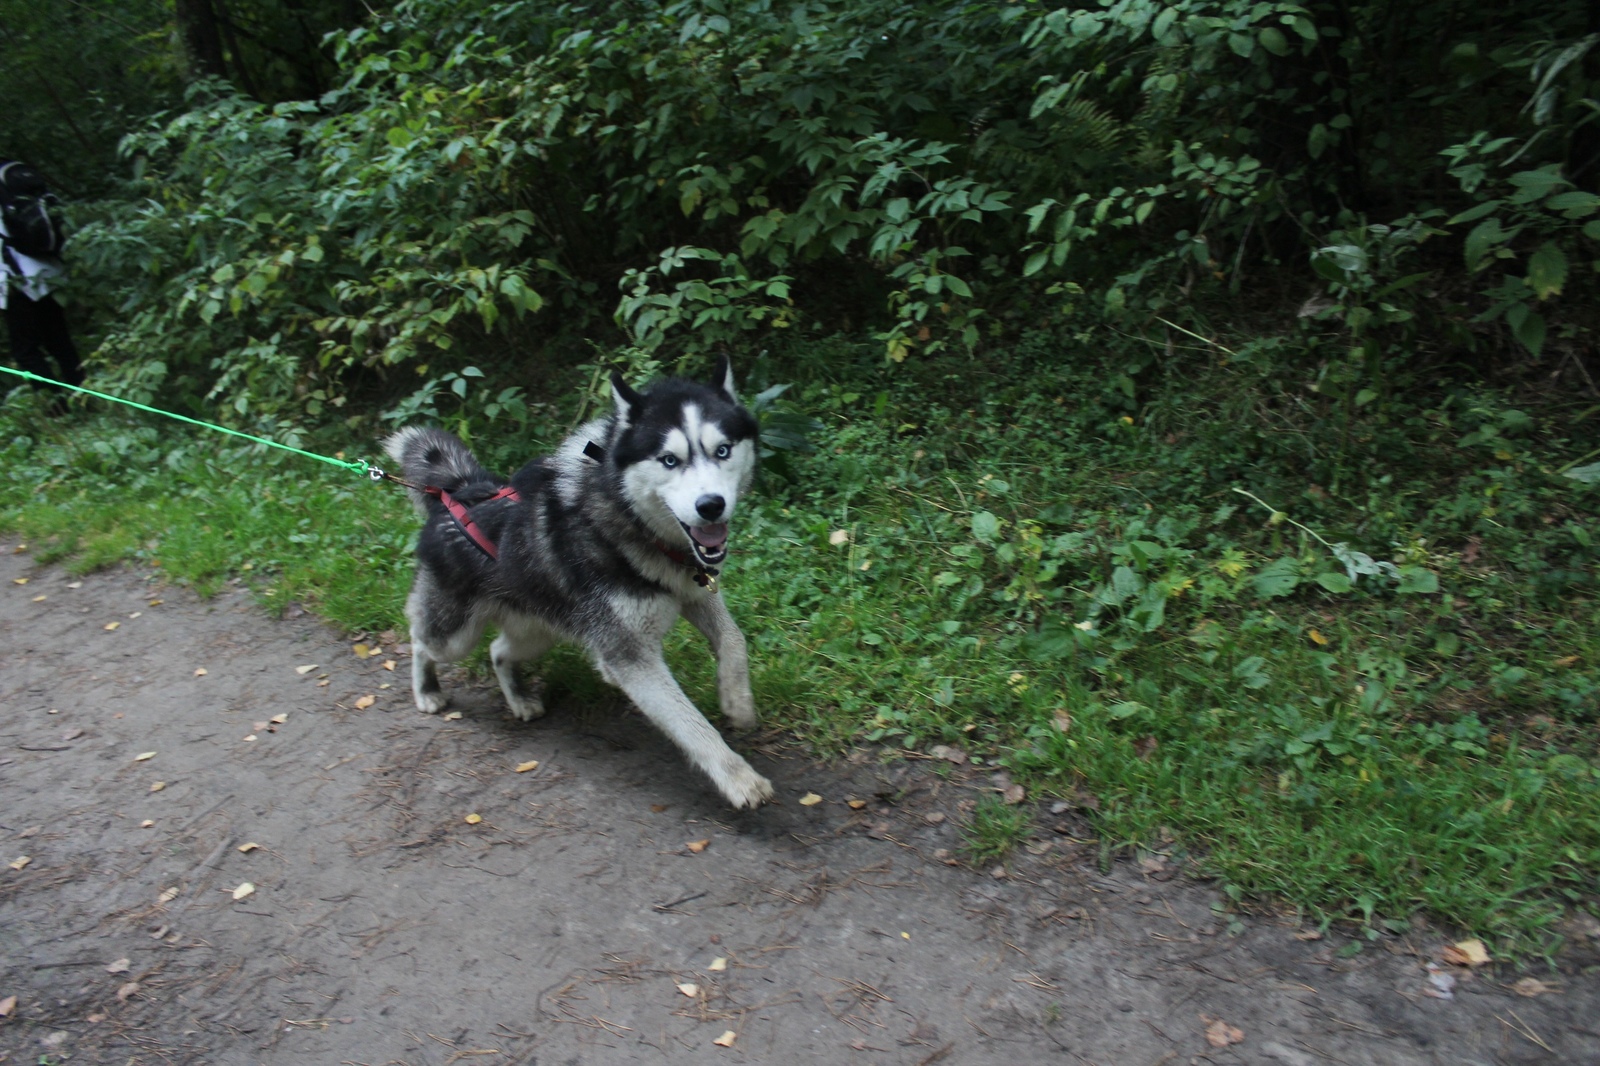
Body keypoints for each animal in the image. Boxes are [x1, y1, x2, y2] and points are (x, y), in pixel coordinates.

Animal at [377, 356, 771, 806]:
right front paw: (739, 779)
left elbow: (734, 639)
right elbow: (691, 723)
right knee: (421, 639)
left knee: (498, 650)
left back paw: (519, 698)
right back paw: (426, 689)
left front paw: (738, 703)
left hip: (540, 631)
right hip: (456, 636)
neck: (628, 519)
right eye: (669, 460)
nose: (711, 506)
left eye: (722, 450)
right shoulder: (628, 656)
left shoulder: (694, 591)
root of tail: (458, 492)